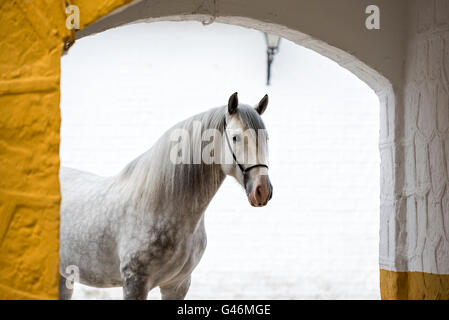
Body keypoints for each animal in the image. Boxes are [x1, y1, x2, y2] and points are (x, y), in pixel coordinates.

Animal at [57, 93, 272, 300]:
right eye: (235, 137)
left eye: (266, 138)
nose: (262, 190)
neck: (159, 204)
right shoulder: (134, 283)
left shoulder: (177, 285)